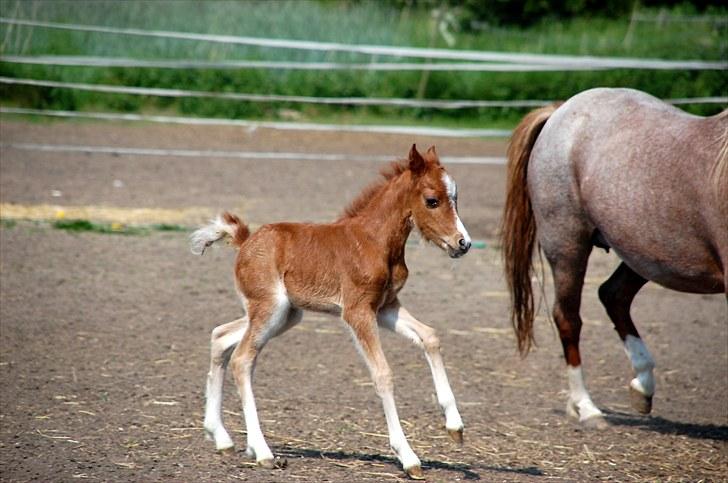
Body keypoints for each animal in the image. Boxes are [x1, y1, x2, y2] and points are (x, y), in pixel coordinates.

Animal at [189, 146, 472, 478]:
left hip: (284, 314)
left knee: (220, 337)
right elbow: (383, 374)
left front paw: (455, 427)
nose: (463, 243)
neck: (374, 240)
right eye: (432, 200)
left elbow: (430, 337)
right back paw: (262, 452)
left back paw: (221, 437)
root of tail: (246, 240)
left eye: (456, 197)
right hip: (270, 310)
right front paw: (408, 457)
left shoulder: (385, 307)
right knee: (243, 359)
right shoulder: (357, 311)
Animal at [504, 89, 724, 430]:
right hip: (568, 245)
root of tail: (561, 110)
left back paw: (641, 386)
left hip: (646, 252)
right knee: (569, 318)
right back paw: (586, 407)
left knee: (613, 294)